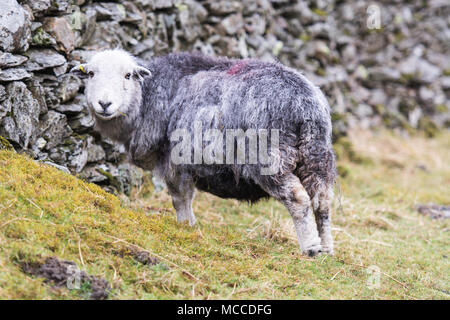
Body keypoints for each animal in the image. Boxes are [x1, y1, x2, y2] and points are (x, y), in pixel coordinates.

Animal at [71, 48, 338, 256]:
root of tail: (306, 105)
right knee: (322, 201)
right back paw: (327, 248)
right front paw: (189, 226)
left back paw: (310, 248)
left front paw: (184, 226)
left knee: (298, 198)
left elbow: (180, 198)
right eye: (91, 73)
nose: (104, 104)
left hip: (270, 157)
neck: (146, 97)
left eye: (128, 75)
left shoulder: (173, 161)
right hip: (316, 155)